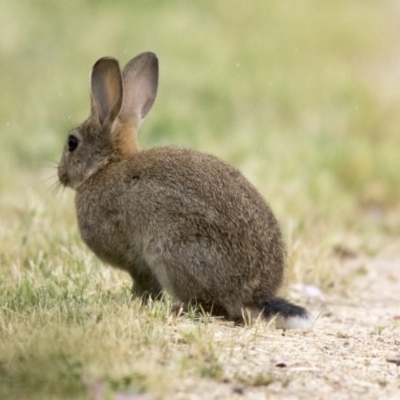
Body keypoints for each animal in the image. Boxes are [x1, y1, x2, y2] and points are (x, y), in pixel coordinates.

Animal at [57, 51, 310, 330]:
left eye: (72, 142)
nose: (60, 175)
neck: (104, 166)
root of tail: (252, 296)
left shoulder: (138, 260)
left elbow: (145, 285)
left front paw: (135, 303)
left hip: (173, 250)